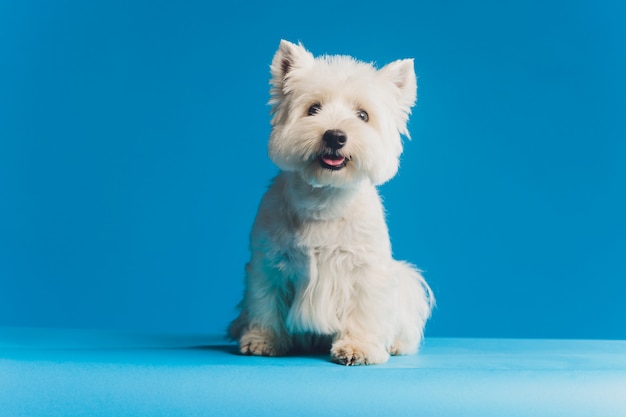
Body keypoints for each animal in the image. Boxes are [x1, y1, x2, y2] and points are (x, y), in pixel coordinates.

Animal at [229, 39, 434, 364]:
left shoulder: (365, 269)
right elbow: (265, 302)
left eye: (363, 115)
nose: (335, 136)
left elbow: (365, 309)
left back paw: (395, 344)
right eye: (313, 109)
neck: (323, 196)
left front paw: (358, 347)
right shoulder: (268, 263)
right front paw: (262, 340)